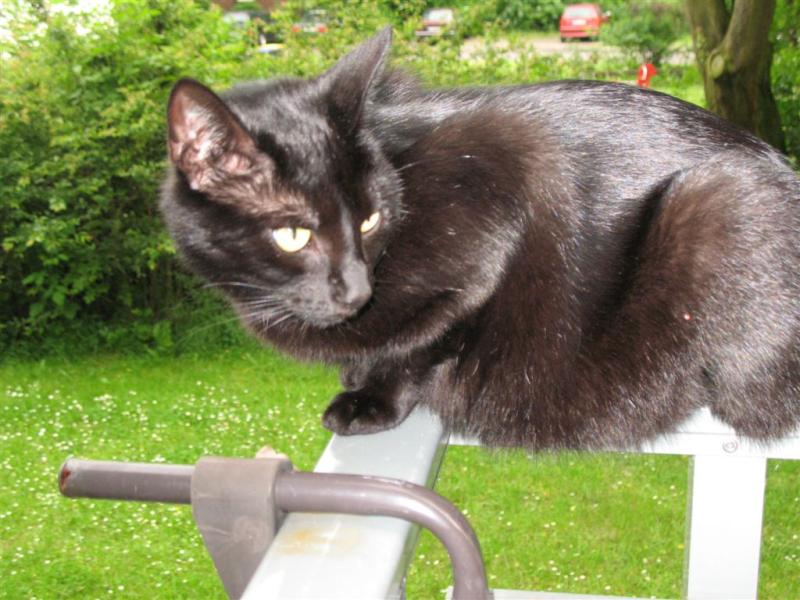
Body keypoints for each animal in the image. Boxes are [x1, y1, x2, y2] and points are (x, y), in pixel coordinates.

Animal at [160, 28, 800, 450]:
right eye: (294, 234)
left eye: (368, 220)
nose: (357, 291)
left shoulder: (497, 191)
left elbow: (422, 341)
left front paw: (370, 399)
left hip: (718, 203)